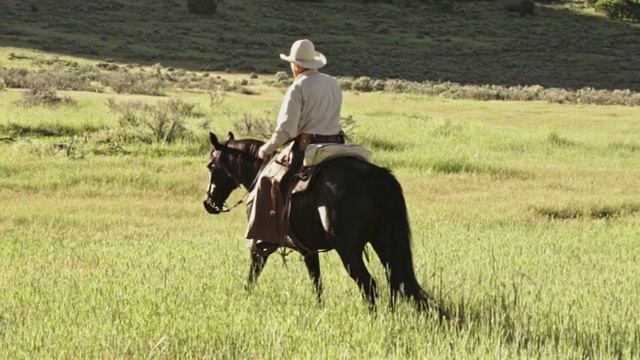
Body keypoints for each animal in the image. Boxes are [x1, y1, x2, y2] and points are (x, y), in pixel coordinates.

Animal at [204, 131, 444, 316]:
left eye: (210, 166)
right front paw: (320, 308)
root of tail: (378, 177)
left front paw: (244, 298)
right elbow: (316, 280)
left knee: (370, 285)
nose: (209, 203)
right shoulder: (307, 249)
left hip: (349, 250)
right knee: (396, 281)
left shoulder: (260, 242)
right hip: (384, 243)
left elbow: (253, 273)